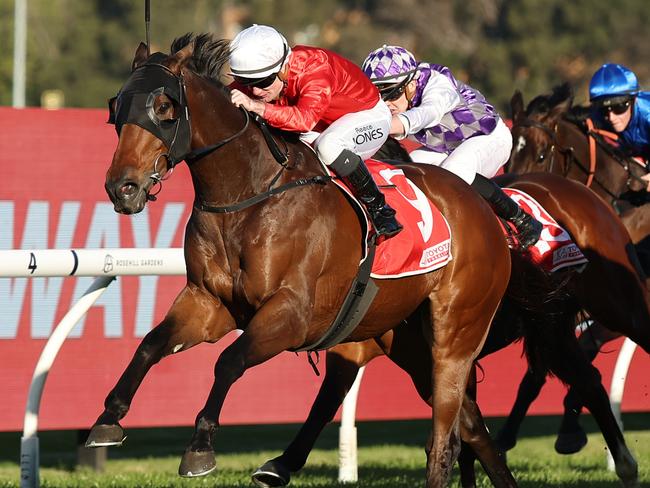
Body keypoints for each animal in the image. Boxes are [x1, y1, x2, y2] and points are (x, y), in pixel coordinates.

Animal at [85, 35, 512, 488]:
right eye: (117, 106)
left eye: (164, 107)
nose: (122, 187)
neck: (247, 195)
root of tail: (479, 202)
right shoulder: (208, 302)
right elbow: (150, 345)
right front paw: (107, 419)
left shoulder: (292, 314)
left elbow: (228, 362)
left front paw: (200, 446)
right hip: (406, 337)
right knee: (475, 430)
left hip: (455, 335)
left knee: (444, 441)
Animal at [251, 139, 644, 486]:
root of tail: (587, 196)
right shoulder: (361, 344)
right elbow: (327, 400)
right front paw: (280, 465)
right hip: (552, 330)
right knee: (588, 380)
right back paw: (616, 460)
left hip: (617, 304)